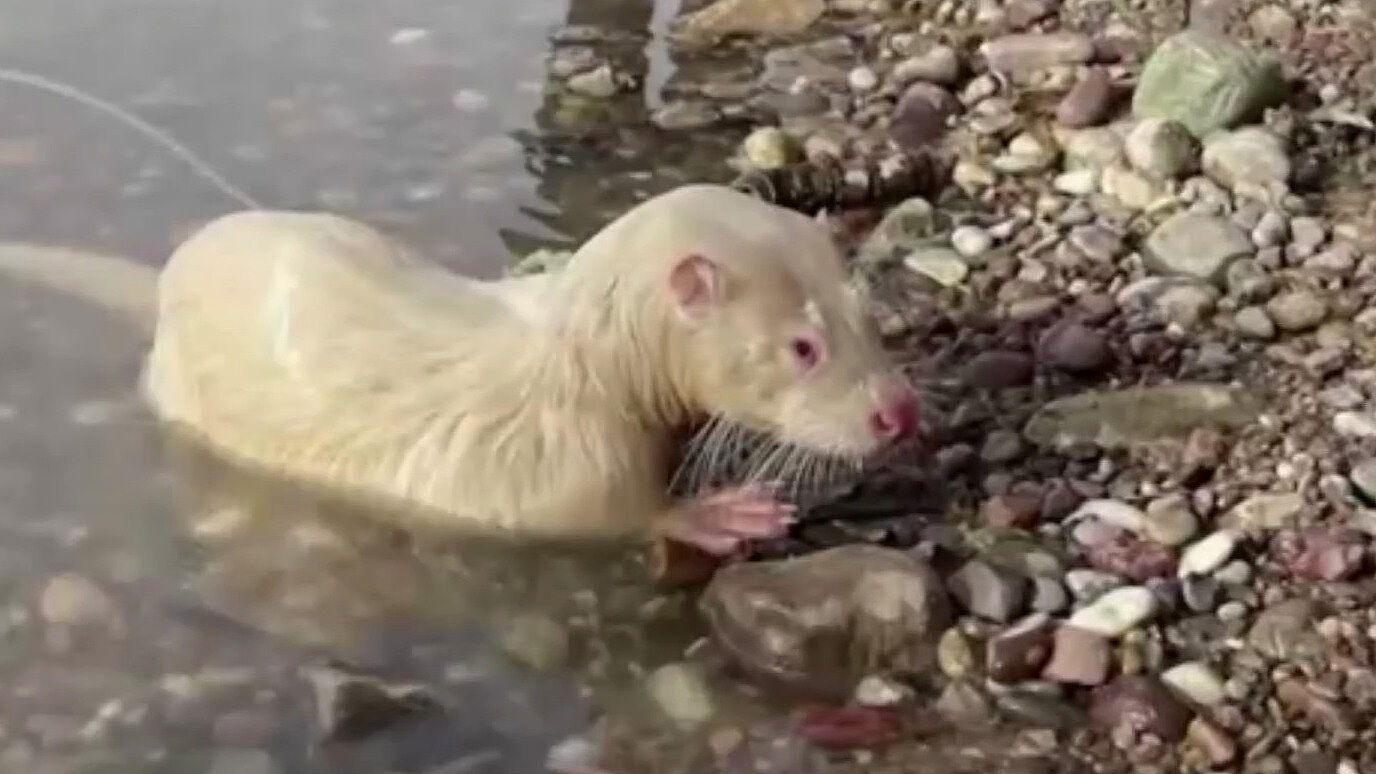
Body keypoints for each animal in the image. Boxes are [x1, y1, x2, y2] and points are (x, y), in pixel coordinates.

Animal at [5, 180, 924, 553]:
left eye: (863, 311)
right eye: (802, 347)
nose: (899, 415)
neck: (584, 352)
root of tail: (162, 285)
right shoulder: (562, 450)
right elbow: (579, 512)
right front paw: (718, 513)